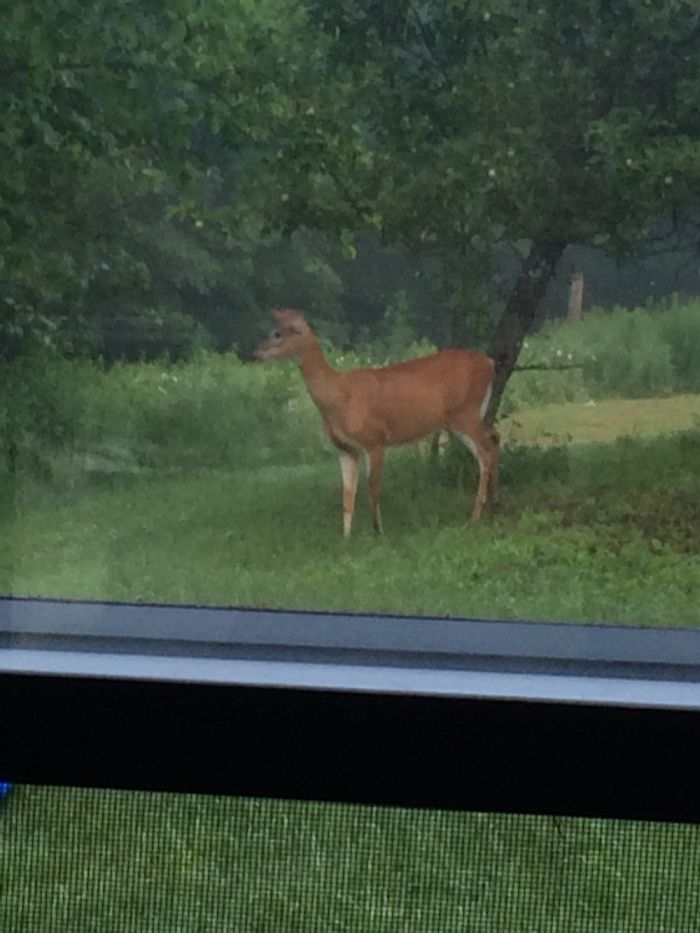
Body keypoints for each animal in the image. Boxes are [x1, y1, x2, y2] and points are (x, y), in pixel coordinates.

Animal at [253, 308, 500, 538]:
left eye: (277, 333)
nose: (255, 352)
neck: (338, 396)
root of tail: (489, 363)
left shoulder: (376, 439)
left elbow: (372, 487)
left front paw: (378, 530)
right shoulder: (346, 449)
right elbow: (347, 494)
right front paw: (345, 537)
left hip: (465, 412)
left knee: (485, 452)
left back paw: (474, 518)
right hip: (467, 416)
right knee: (495, 438)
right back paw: (493, 505)